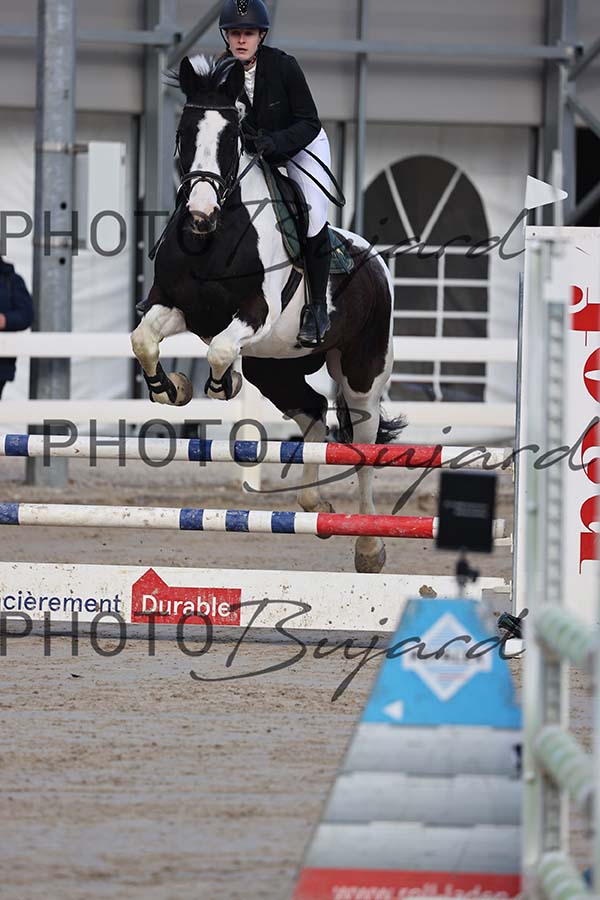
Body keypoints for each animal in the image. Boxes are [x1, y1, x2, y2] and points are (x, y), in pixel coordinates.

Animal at [130, 54, 404, 574]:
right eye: (183, 132)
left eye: (232, 138)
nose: (199, 213)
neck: (213, 238)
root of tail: (374, 261)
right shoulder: (175, 306)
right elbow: (144, 340)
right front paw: (171, 388)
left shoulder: (256, 313)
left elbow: (220, 351)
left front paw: (223, 386)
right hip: (277, 368)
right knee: (315, 414)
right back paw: (315, 505)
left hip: (362, 372)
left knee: (363, 443)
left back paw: (370, 547)